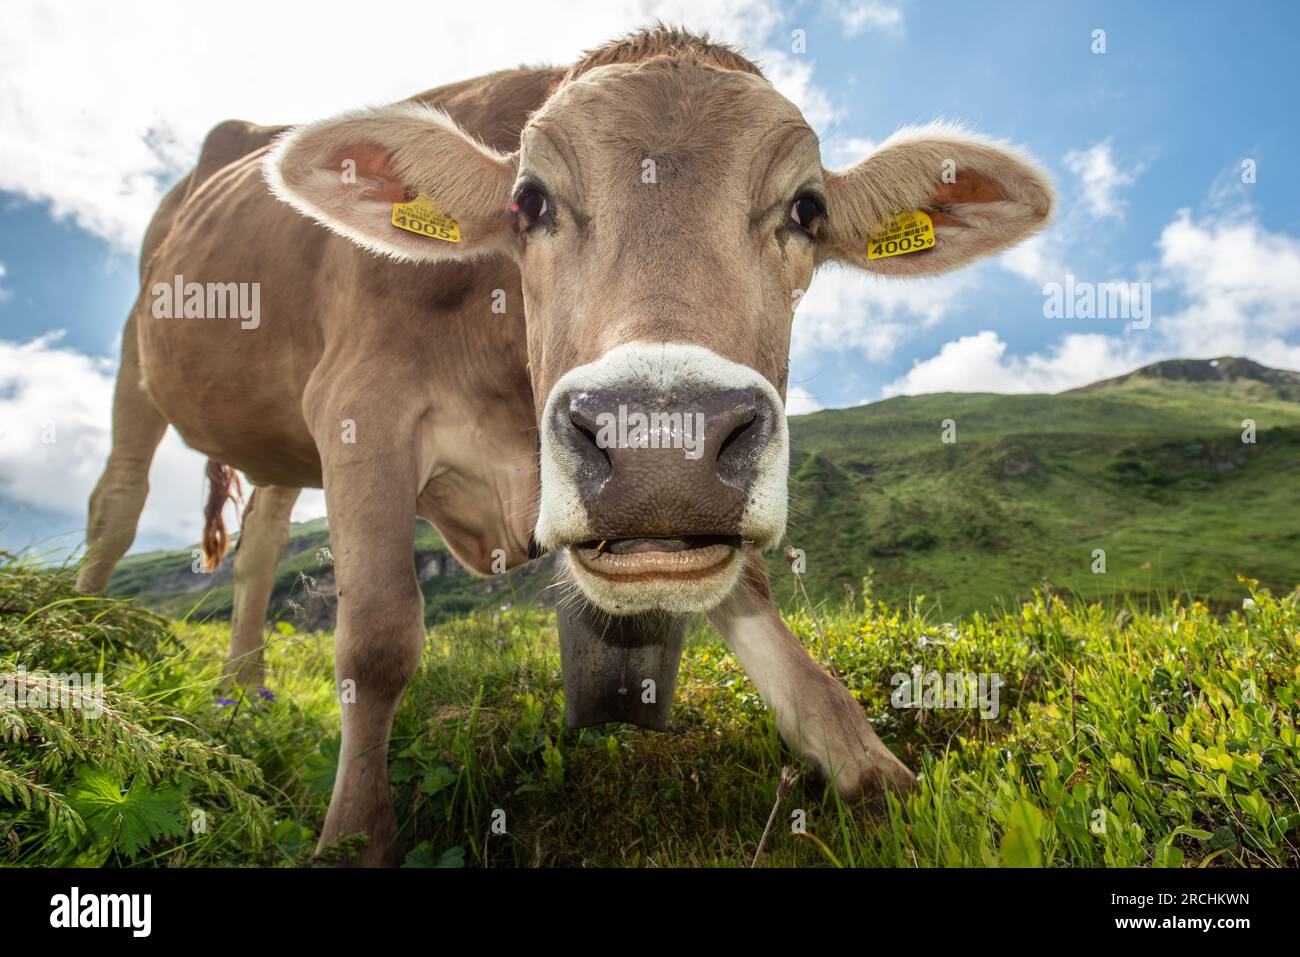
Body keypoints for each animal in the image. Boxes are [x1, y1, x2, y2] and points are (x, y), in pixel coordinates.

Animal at [76, 27, 1050, 868]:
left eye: (806, 210)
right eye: (528, 201)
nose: (662, 446)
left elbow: (756, 604)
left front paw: (865, 764)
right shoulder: (361, 406)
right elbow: (377, 639)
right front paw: (353, 837)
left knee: (261, 540)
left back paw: (243, 686)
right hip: (136, 360)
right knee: (116, 506)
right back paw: (81, 638)